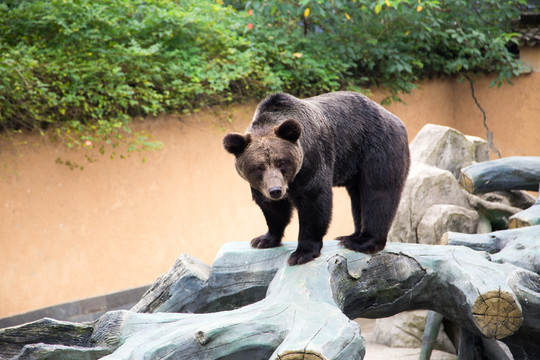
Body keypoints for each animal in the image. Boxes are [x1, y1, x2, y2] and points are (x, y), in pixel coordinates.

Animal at [223, 91, 410, 266]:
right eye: (258, 167)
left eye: (281, 162)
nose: (276, 190)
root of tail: (394, 118)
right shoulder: (262, 185)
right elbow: (273, 210)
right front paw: (264, 239)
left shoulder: (312, 161)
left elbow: (313, 204)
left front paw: (301, 253)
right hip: (354, 164)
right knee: (358, 196)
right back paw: (350, 235)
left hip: (376, 148)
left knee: (378, 192)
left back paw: (362, 241)